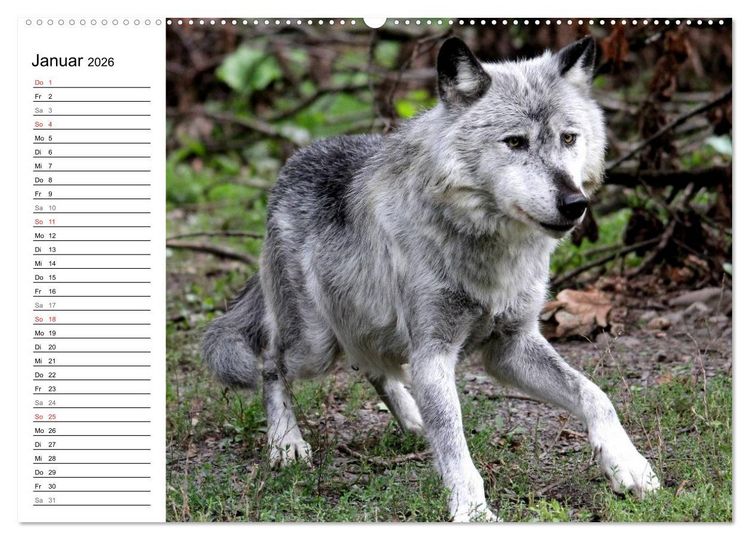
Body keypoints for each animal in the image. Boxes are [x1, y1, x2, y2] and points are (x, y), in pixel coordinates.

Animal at [203, 36, 660, 521]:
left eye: (569, 138)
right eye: (515, 142)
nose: (575, 203)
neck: (490, 251)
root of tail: (291, 164)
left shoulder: (510, 347)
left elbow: (595, 395)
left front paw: (629, 465)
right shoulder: (434, 353)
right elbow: (455, 442)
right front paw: (472, 511)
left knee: (374, 368)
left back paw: (412, 418)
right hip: (314, 344)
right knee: (271, 362)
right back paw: (286, 443)